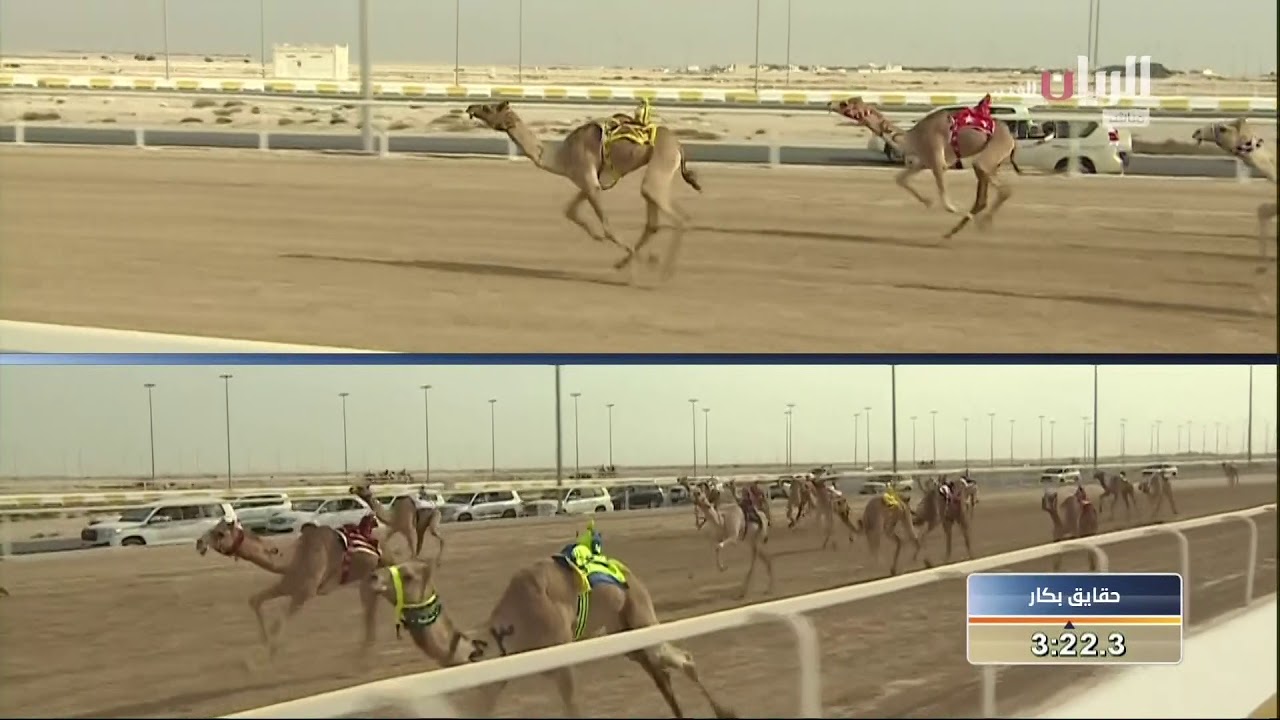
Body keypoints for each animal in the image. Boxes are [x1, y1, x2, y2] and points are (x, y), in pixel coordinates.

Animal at [196, 515, 386, 661]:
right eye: (214, 527)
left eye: (219, 533)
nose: (199, 543)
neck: (293, 558)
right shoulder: (288, 584)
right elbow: (255, 600)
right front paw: (264, 644)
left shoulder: (306, 592)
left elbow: (278, 622)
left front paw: (264, 656)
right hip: (370, 576)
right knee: (371, 605)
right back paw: (362, 657)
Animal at [364, 527, 737, 718]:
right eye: (391, 565)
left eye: (408, 574)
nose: (372, 578)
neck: (502, 634)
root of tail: (626, 570)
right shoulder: (496, 676)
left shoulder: (561, 660)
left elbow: (574, 711)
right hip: (623, 631)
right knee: (660, 670)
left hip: (641, 614)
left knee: (683, 660)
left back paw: (726, 712)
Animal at [465, 100, 702, 281]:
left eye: (488, 107)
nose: (470, 107)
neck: (561, 156)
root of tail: (679, 146)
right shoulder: (588, 182)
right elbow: (569, 210)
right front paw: (597, 236)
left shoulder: (588, 181)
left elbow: (607, 227)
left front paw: (647, 261)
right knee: (653, 222)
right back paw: (627, 264)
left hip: (662, 163)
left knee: (678, 216)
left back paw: (663, 273)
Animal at [830, 95, 1022, 239]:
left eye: (845, 103)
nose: (830, 103)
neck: (913, 138)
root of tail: (1012, 139)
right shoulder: (923, 161)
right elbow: (900, 179)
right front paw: (928, 202)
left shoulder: (938, 161)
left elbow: (946, 204)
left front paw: (960, 212)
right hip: (992, 163)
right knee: (983, 198)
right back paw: (953, 232)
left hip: (990, 155)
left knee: (1001, 189)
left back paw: (980, 223)